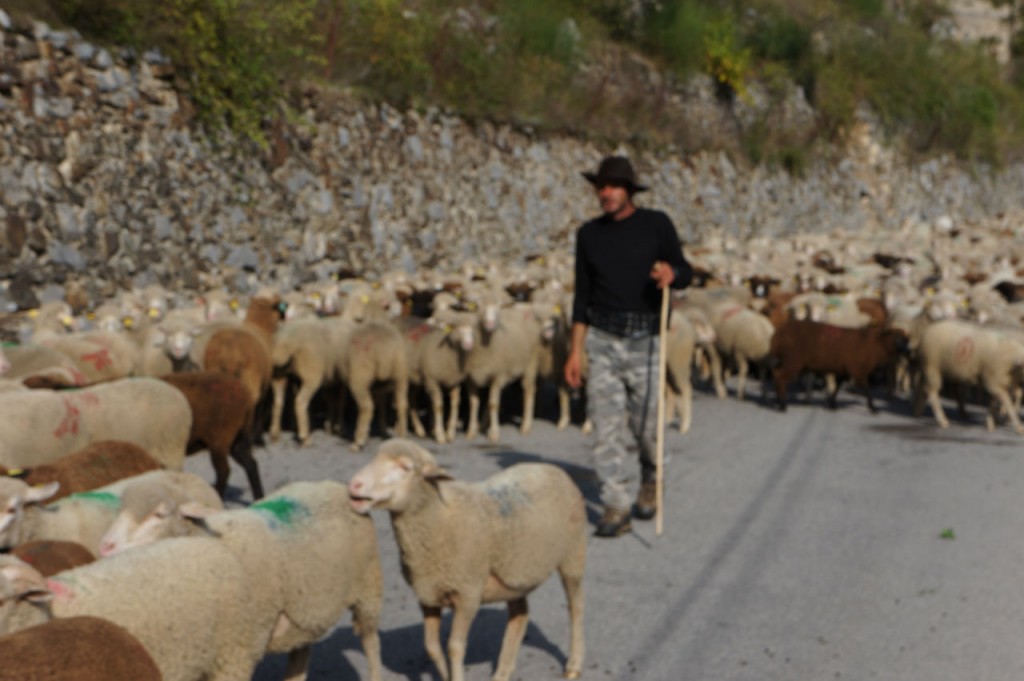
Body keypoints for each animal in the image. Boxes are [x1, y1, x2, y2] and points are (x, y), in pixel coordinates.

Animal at [159, 368, 264, 497]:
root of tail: (245, 395)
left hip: (219, 440)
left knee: (224, 471)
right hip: (239, 439)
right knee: (251, 464)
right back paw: (259, 497)